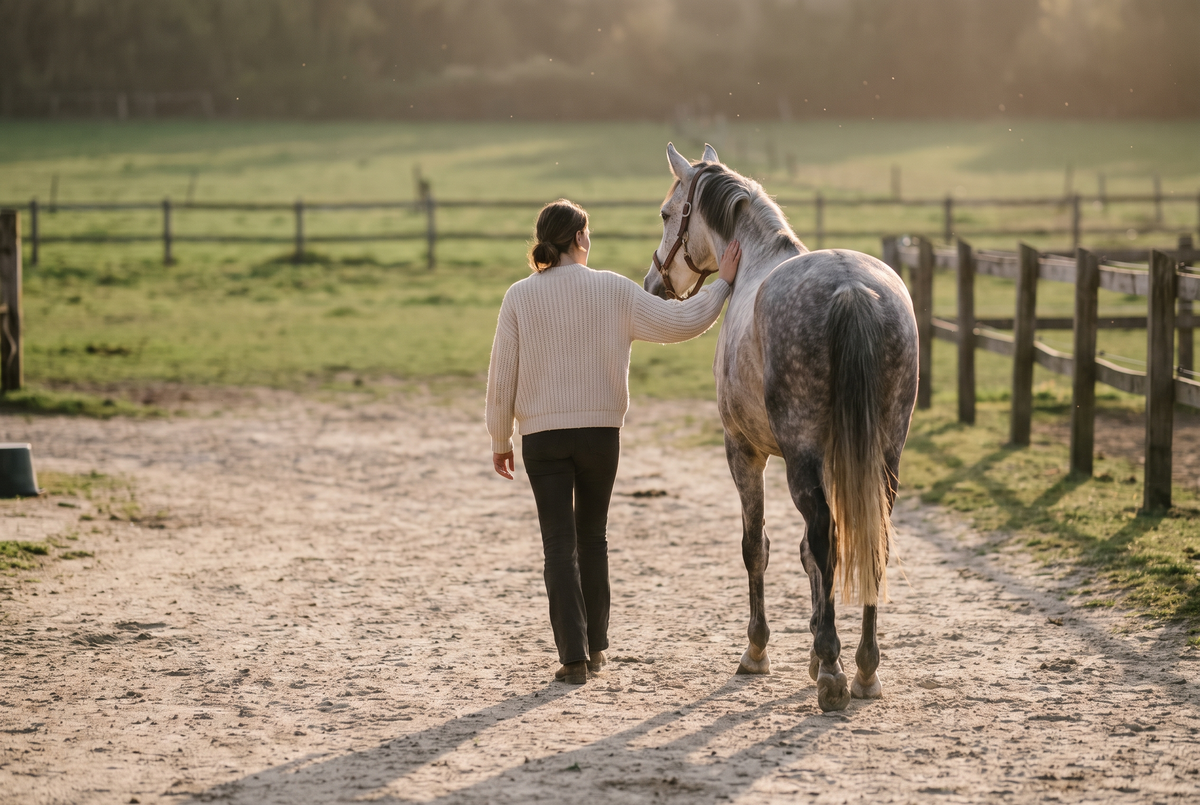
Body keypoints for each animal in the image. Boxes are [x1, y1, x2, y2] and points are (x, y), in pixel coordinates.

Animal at [644, 143, 919, 712]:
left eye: (665, 214)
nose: (653, 284)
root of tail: (851, 289)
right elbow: (811, 557)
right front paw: (813, 650)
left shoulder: (744, 452)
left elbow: (759, 547)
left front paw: (760, 650)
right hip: (883, 456)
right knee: (867, 539)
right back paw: (864, 669)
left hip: (800, 456)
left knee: (825, 537)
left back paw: (836, 673)